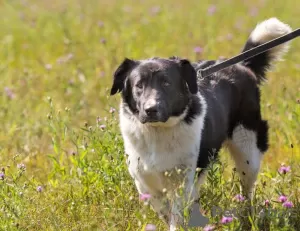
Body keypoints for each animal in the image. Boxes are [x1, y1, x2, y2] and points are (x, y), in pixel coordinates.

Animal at [109, 17, 292, 229]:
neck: (158, 131)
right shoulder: (145, 181)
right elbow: (164, 210)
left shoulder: (183, 181)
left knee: (247, 190)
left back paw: (247, 217)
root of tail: (241, 65)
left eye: (166, 83)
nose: (150, 109)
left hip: (248, 150)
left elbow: (176, 216)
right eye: (139, 85)